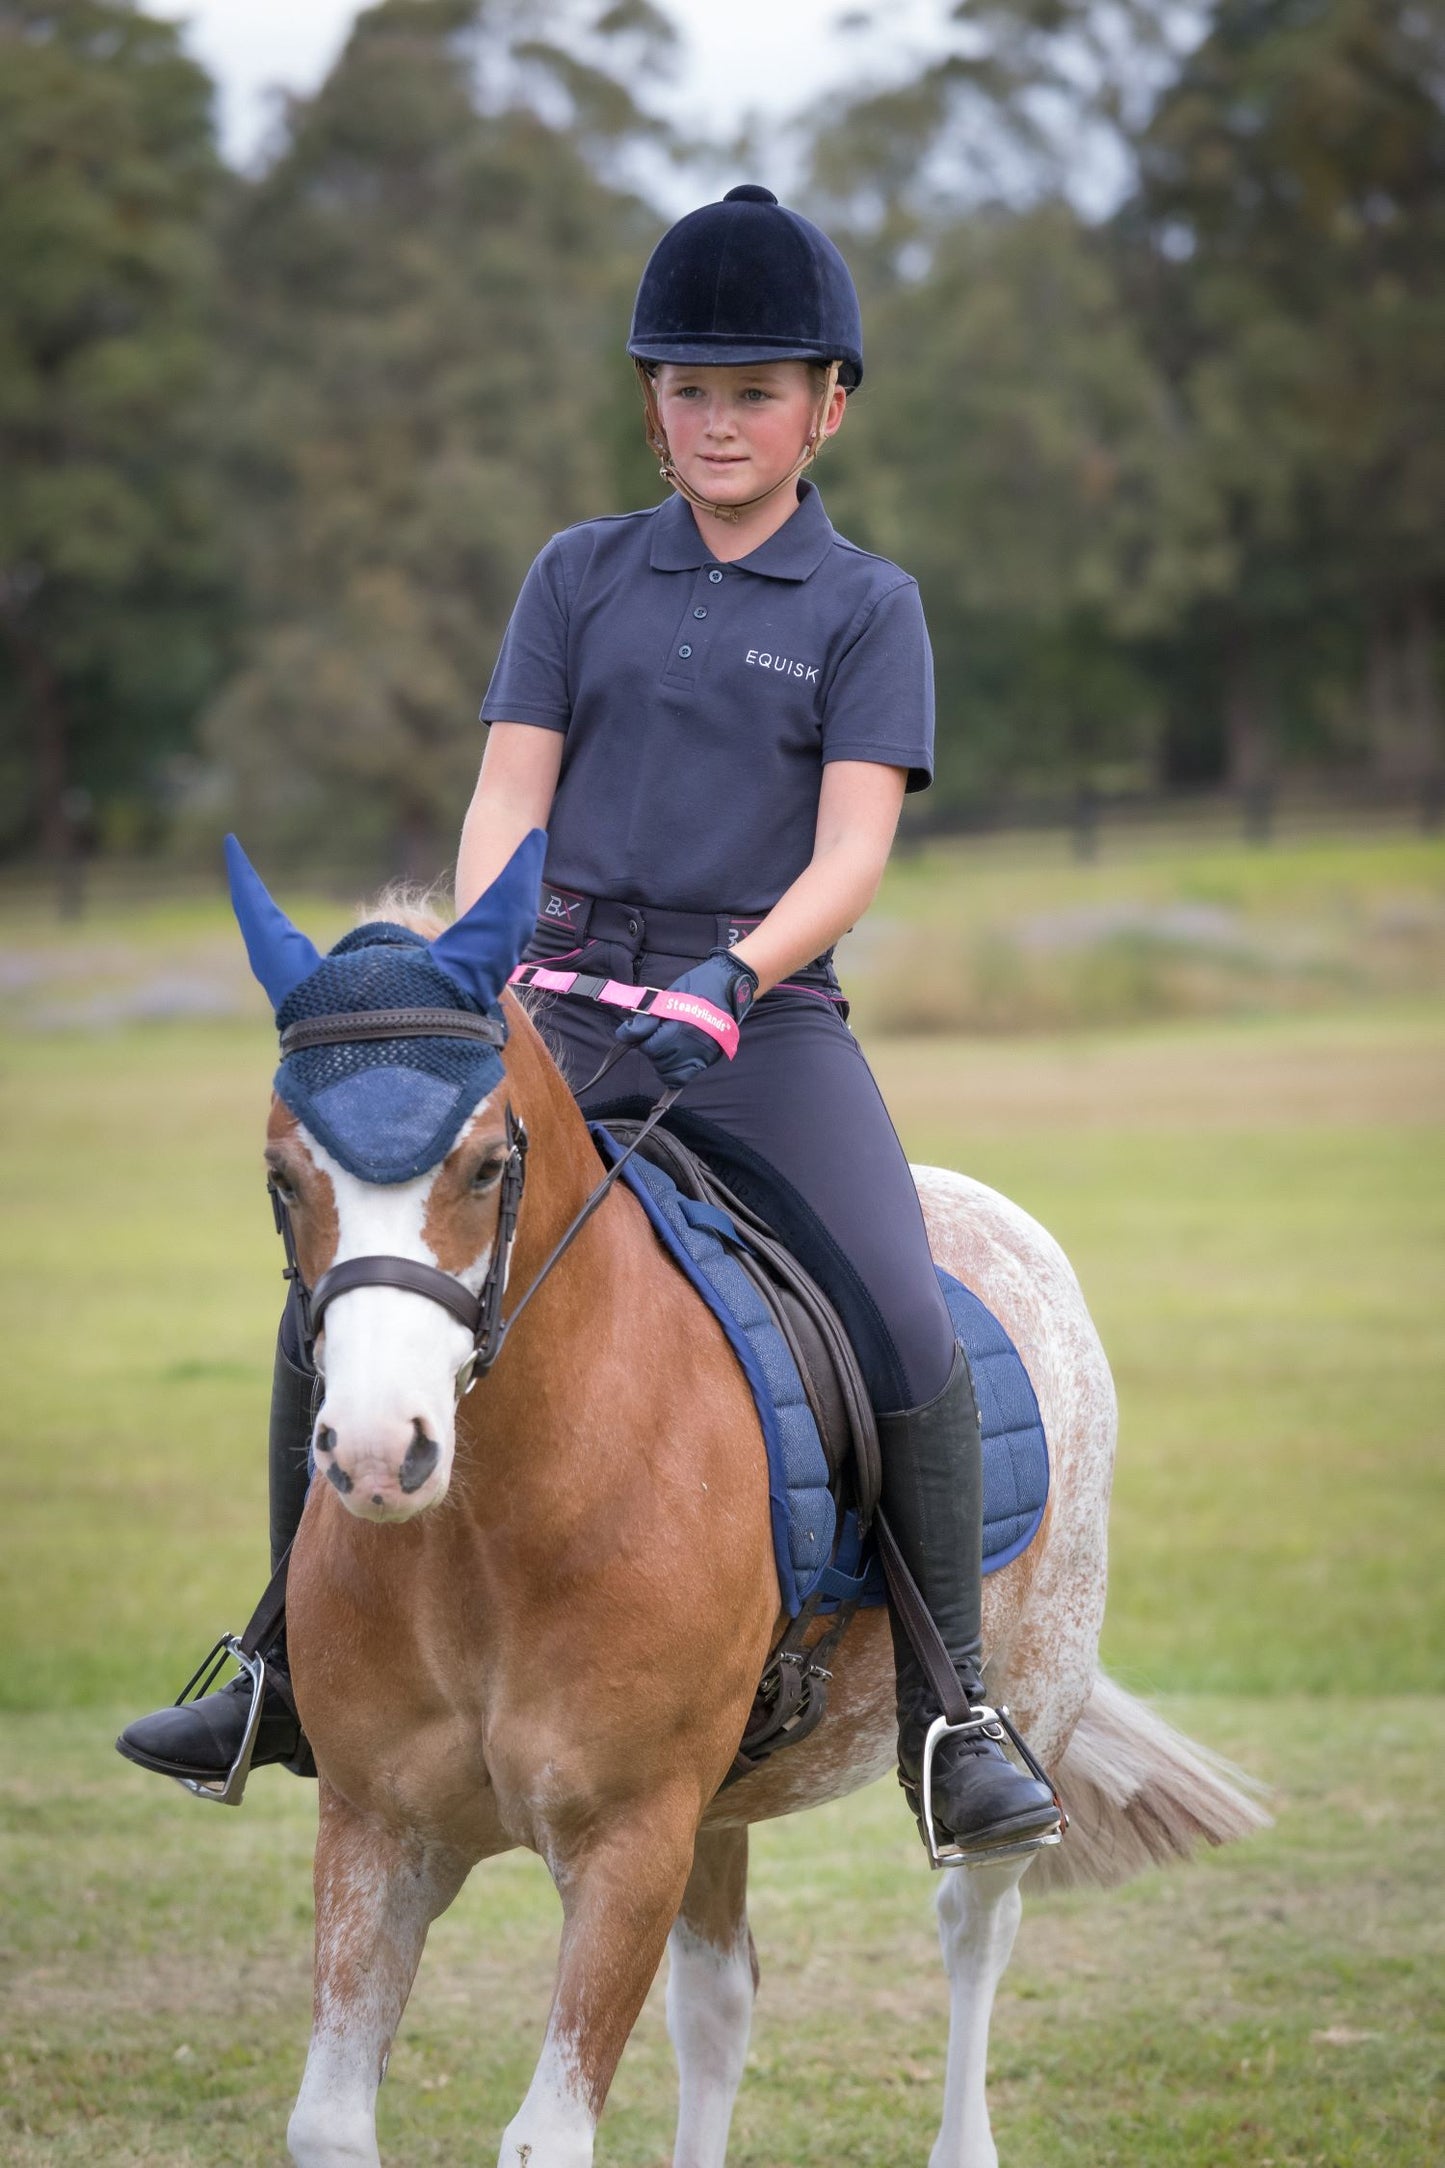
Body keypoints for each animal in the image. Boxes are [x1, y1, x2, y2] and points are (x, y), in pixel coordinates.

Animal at [240, 871, 1265, 2159]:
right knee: (718, 2003)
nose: (381, 1451)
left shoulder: (626, 1840)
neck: (494, 1526)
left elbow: (544, 2134)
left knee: (972, 1923)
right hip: (714, 1805)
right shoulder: (379, 1829)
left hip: (1023, 1705)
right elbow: (329, 2120)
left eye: (480, 1166)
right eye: (283, 1176)